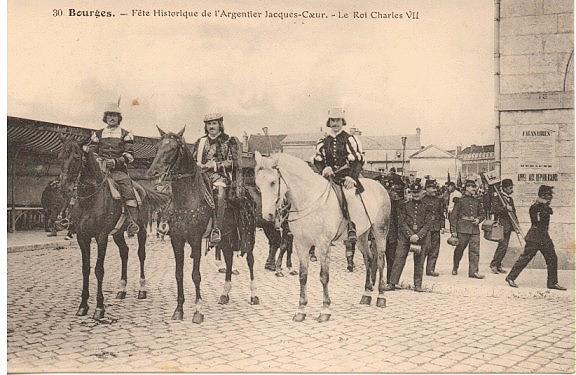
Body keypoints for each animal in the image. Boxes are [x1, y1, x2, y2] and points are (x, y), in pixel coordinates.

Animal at [59, 138, 171, 320]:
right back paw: (122, 289)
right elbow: (85, 269)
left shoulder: (102, 236)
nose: (63, 188)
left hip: (141, 230)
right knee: (124, 252)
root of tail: (142, 188)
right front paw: (83, 305)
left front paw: (99, 308)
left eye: (76, 157)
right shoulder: (82, 237)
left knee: (141, 254)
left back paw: (142, 289)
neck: (90, 199)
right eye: (59, 156)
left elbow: (99, 269)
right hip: (118, 233)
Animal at [147, 127, 258, 324]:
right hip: (226, 237)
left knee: (250, 261)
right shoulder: (177, 240)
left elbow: (195, 275)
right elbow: (179, 274)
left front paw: (198, 311)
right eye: (159, 147)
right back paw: (225, 294)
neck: (187, 200)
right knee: (229, 260)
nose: (153, 172)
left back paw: (253, 295)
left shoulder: (195, 240)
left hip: (248, 235)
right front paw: (178, 309)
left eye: (173, 148)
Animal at [255, 151, 392, 322]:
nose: (267, 215)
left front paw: (325, 309)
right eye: (257, 185)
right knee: (369, 259)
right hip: (361, 236)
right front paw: (301, 309)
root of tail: (381, 187)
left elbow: (324, 276)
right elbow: (303, 276)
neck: (308, 199)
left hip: (380, 232)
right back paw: (366, 294)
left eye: (273, 182)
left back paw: (381, 296)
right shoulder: (301, 244)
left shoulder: (323, 244)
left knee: (380, 261)